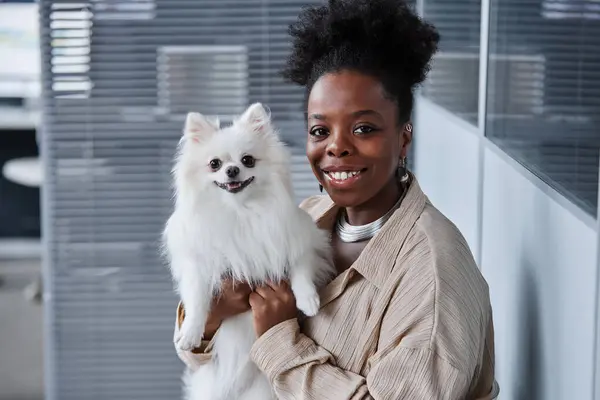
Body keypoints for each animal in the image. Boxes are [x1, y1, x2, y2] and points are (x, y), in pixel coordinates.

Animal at [162, 101, 336, 398]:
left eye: (248, 160)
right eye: (214, 164)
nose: (232, 170)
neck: (240, 211)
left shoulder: (302, 239)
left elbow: (301, 268)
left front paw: (308, 299)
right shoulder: (199, 264)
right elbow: (197, 299)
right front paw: (190, 333)